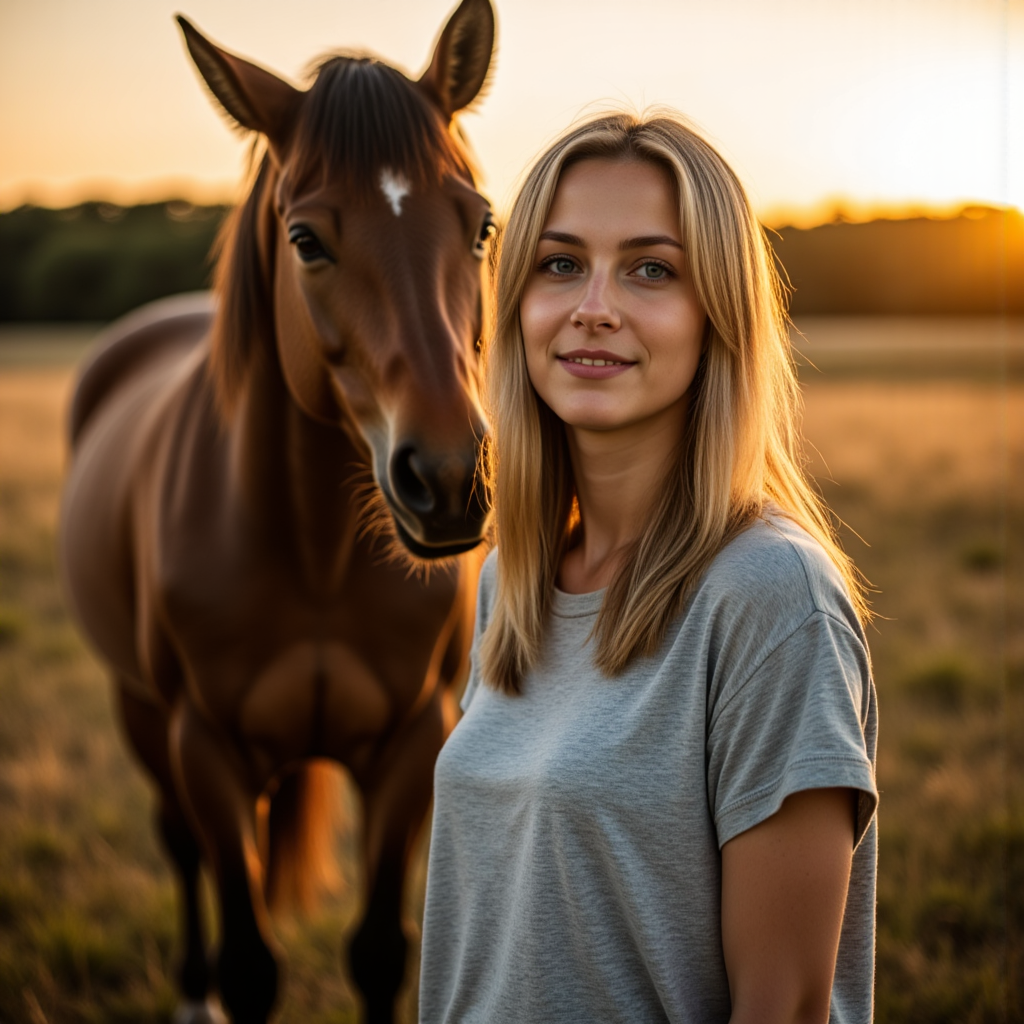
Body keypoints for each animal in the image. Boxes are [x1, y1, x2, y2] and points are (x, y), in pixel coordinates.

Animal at [58, 2, 495, 1021]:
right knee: (178, 846)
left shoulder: (411, 744)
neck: (316, 558)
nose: (449, 476)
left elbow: (378, 951)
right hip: (143, 714)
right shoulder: (207, 750)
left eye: (482, 225)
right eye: (306, 241)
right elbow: (250, 961)